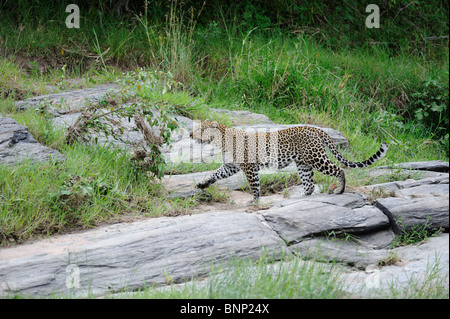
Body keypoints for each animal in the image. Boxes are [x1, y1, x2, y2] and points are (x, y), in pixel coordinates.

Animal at [188, 120, 388, 205]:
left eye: (199, 128)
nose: (190, 134)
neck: (220, 140)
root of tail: (316, 129)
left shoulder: (250, 167)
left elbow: (254, 185)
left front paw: (254, 200)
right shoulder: (230, 166)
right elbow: (215, 174)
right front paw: (202, 184)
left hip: (316, 158)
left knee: (339, 169)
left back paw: (340, 190)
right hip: (303, 164)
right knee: (309, 184)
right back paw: (302, 197)